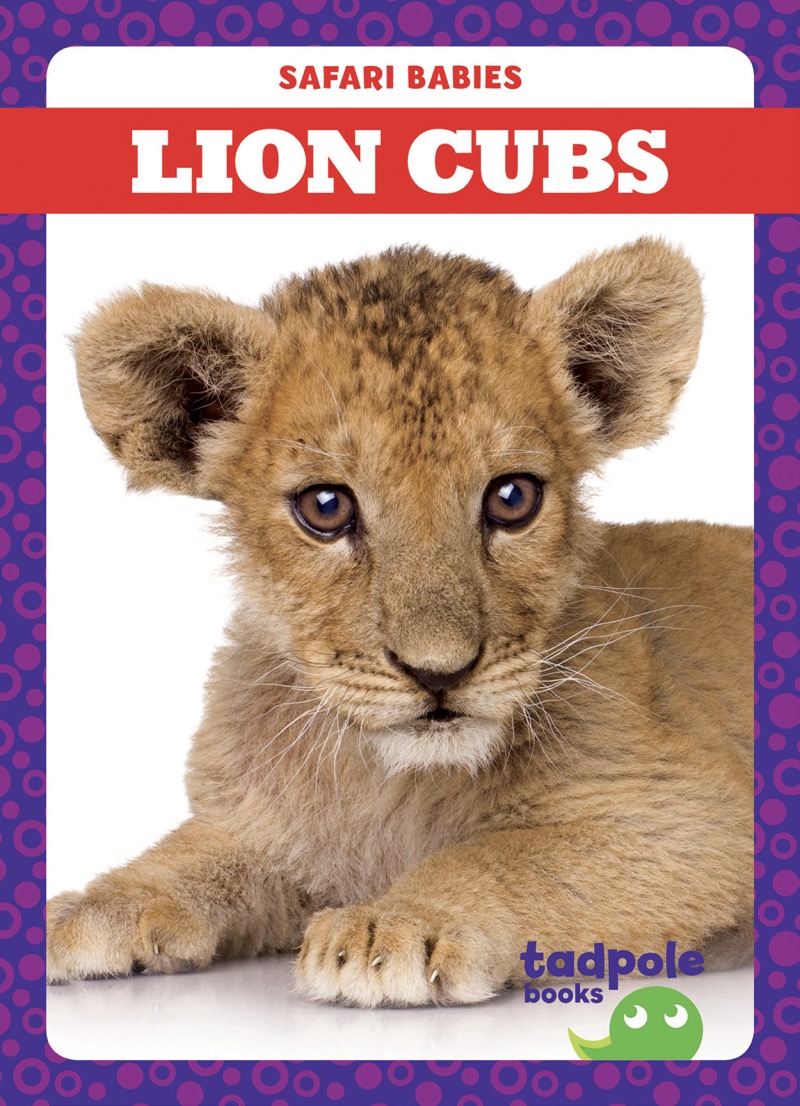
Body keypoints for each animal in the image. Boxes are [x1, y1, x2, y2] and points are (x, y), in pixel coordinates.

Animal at [47, 239, 752, 1006]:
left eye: (512, 497)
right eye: (325, 507)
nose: (438, 673)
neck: (394, 781)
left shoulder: (694, 813)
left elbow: (508, 853)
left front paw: (398, 923)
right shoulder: (264, 829)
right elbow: (196, 851)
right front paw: (93, 906)